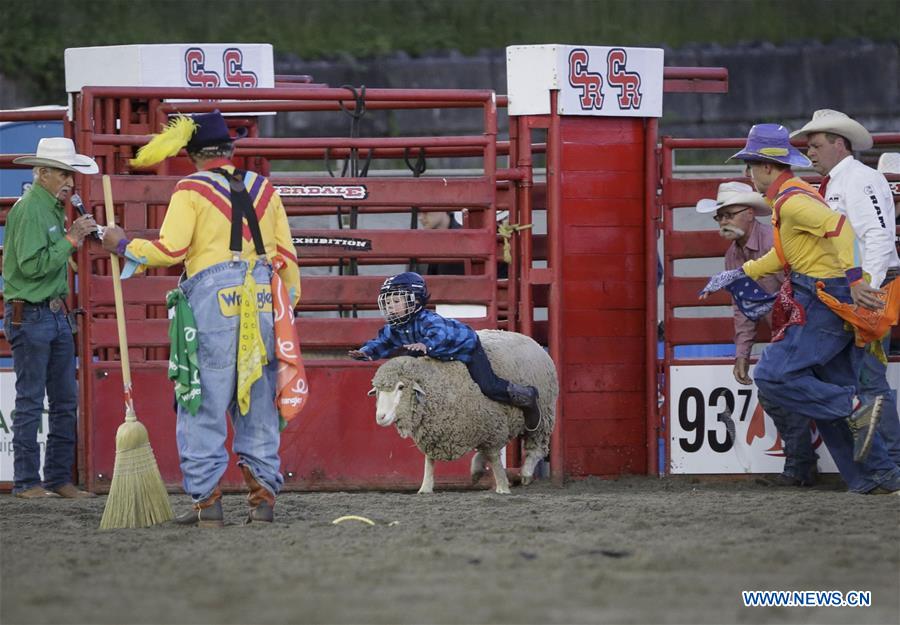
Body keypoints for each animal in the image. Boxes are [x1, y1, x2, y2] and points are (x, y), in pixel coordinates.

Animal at [366, 330, 556, 494]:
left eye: (401, 387)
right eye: (377, 391)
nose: (380, 417)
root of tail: (531, 340)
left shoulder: (493, 427)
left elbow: (495, 458)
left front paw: (502, 487)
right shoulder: (433, 434)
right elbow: (429, 461)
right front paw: (425, 487)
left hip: (543, 415)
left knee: (536, 446)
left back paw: (526, 472)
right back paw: (477, 468)